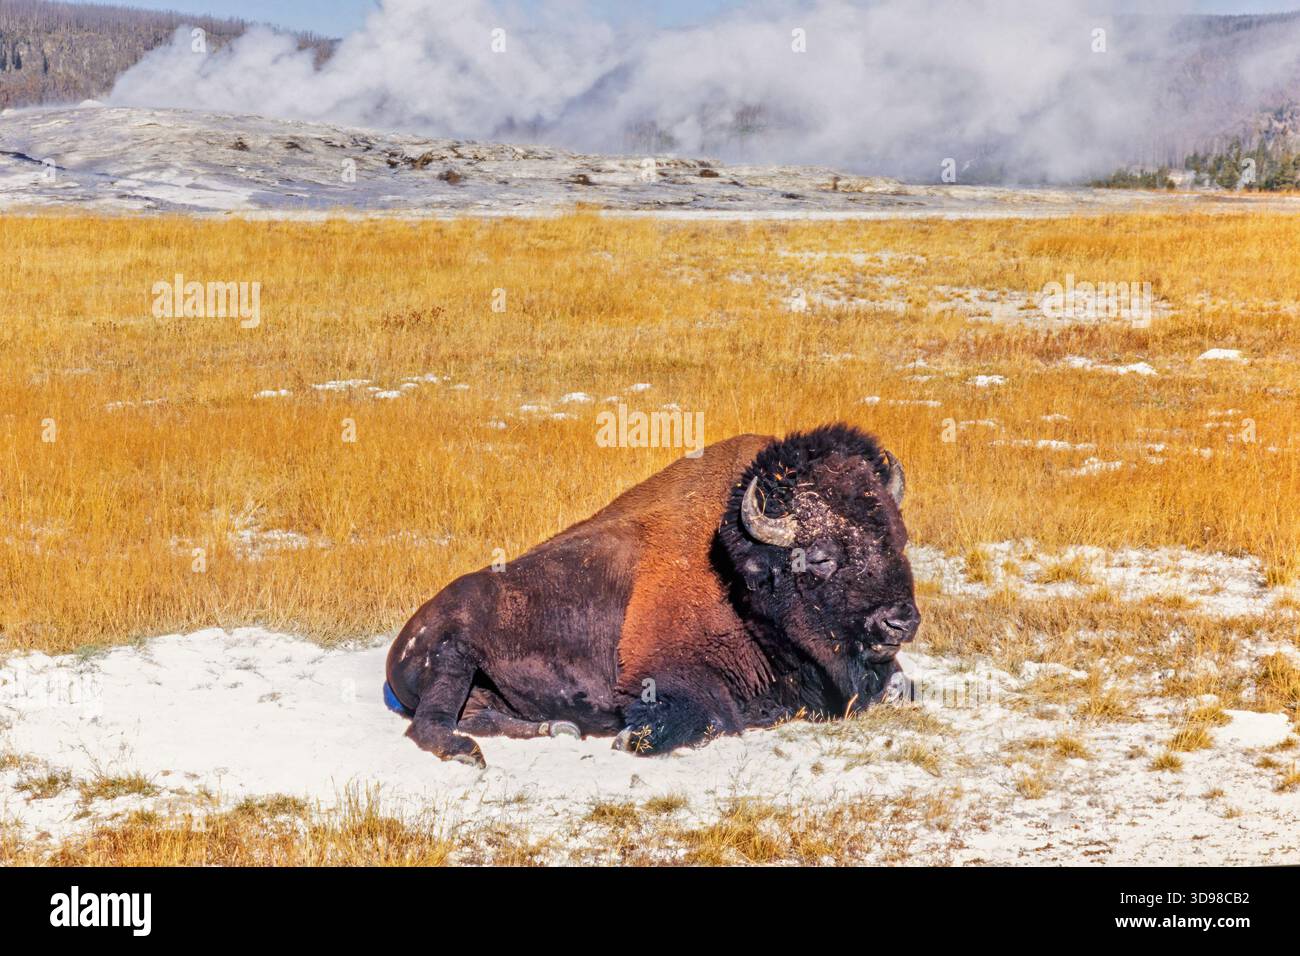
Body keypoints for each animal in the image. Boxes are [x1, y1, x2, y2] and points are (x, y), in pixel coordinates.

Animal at [385, 423, 919, 766]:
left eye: (899, 538)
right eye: (821, 557)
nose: (900, 621)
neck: (736, 577)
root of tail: (403, 637)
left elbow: (900, 686)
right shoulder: (667, 674)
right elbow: (708, 717)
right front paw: (628, 739)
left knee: (477, 716)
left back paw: (554, 728)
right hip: (452, 655)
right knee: (431, 722)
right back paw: (469, 754)